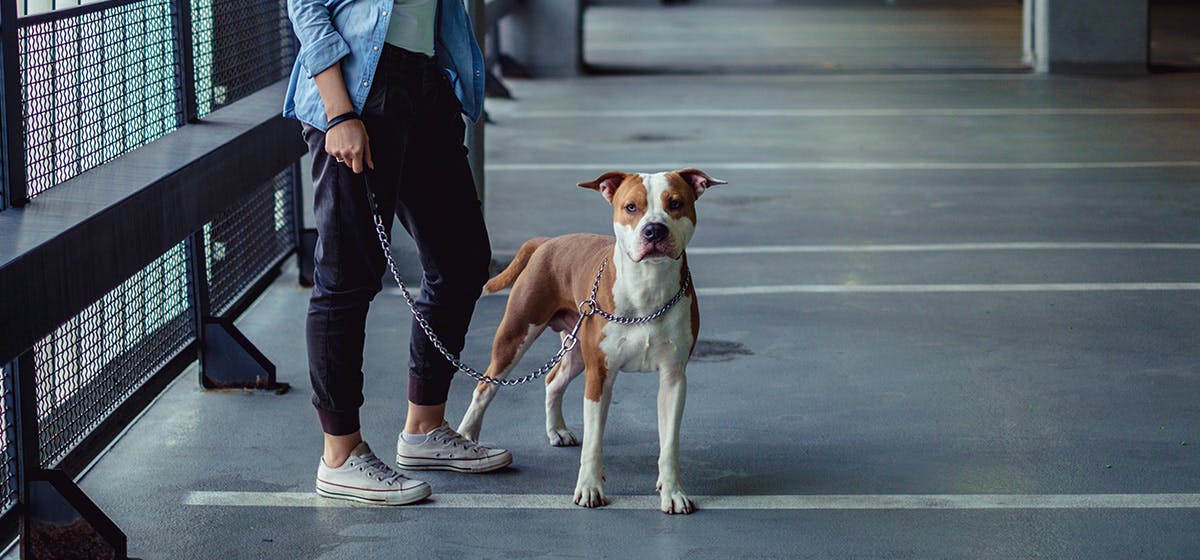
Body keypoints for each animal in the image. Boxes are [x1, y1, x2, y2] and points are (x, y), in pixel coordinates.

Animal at [456, 166, 720, 513]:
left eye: (675, 203)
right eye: (631, 207)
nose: (654, 230)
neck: (646, 288)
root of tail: (548, 242)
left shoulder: (673, 378)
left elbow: (669, 444)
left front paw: (673, 491)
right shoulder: (599, 375)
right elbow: (594, 442)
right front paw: (590, 488)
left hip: (575, 349)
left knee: (552, 380)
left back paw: (556, 430)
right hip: (515, 335)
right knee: (485, 386)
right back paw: (466, 434)